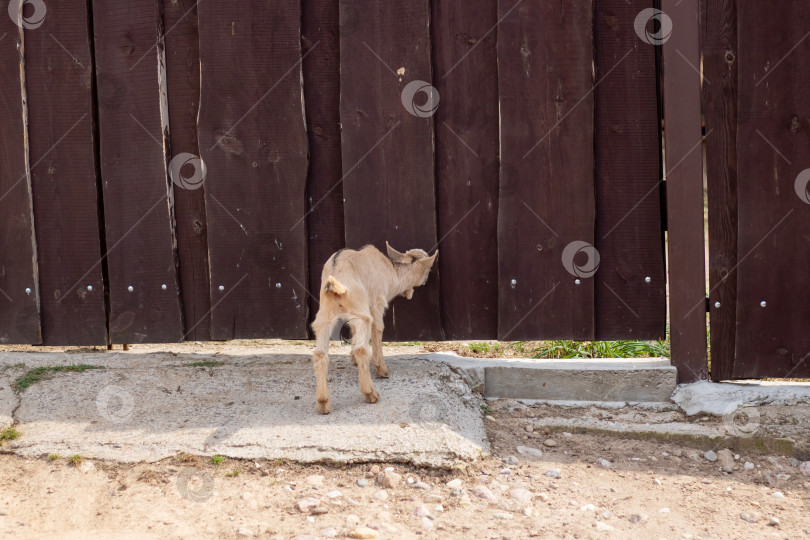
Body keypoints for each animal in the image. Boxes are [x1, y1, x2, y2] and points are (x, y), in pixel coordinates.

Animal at [310, 243, 436, 416]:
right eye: (428, 269)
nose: (425, 281)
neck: (391, 271)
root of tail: (336, 282)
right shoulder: (377, 302)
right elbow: (378, 329)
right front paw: (383, 370)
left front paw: (353, 360)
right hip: (360, 310)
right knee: (362, 348)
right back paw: (371, 393)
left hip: (325, 314)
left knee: (320, 353)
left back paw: (323, 403)